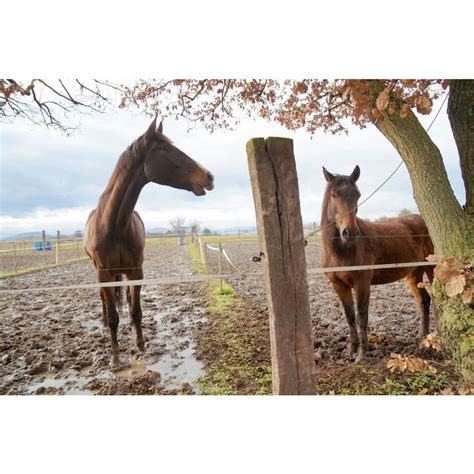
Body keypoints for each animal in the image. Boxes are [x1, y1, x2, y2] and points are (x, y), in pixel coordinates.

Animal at [84, 117, 214, 366]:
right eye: (166, 149)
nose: (209, 176)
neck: (114, 225)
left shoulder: (137, 271)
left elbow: (136, 311)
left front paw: (140, 344)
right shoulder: (103, 274)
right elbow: (113, 316)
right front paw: (115, 356)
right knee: (105, 301)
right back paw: (104, 321)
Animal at [322, 166, 434, 362]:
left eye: (358, 195)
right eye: (334, 194)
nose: (350, 232)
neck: (340, 250)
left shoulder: (362, 283)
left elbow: (362, 317)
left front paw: (362, 355)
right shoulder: (339, 286)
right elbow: (350, 317)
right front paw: (351, 350)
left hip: (432, 268)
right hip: (414, 273)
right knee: (424, 300)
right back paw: (423, 338)